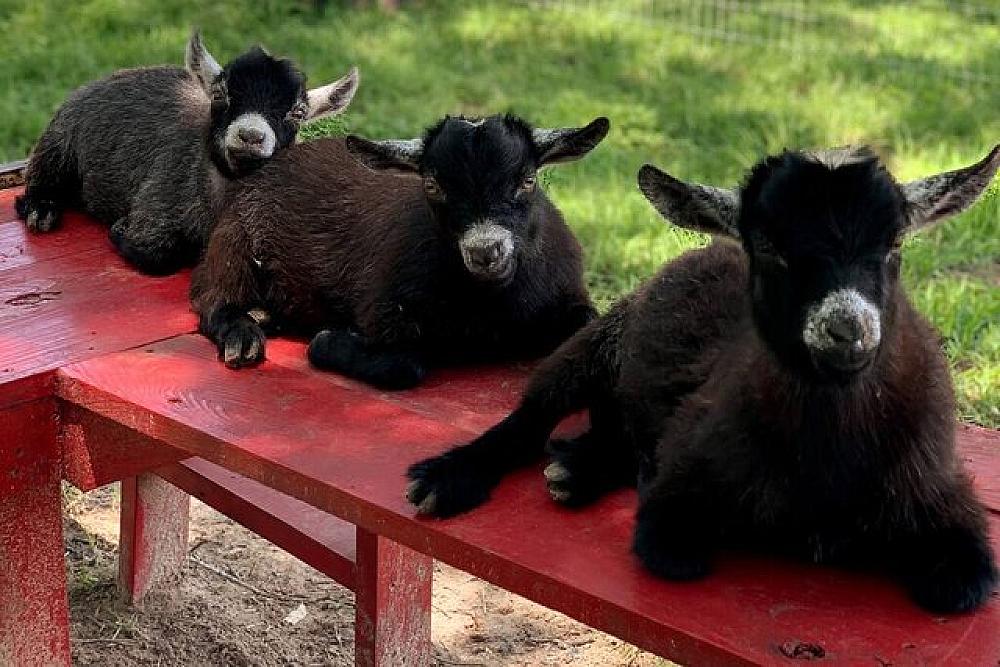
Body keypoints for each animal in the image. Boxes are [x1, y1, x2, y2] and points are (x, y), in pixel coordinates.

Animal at [15, 30, 359, 275]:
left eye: (297, 113)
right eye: (220, 95)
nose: (250, 136)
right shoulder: (156, 208)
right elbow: (155, 255)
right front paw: (119, 229)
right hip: (58, 143)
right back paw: (41, 208)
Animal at [190, 114, 609, 389]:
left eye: (528, 180)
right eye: (432, 185)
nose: (485, 251)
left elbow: (589, 324)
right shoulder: (383, 313)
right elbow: (405, 366)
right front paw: (329, 341)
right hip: (234, 246)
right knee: (212, 302)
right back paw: (243, 336)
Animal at [406, 145, 1000, 613]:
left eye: (894, 245)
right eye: (769, 248)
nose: (847, 331)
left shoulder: (946, 503)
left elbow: (956, 587)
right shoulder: (676, 501)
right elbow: (675, 552)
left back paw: (577, 469)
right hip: (597, 336)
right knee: (533, 417)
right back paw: (451, 476)